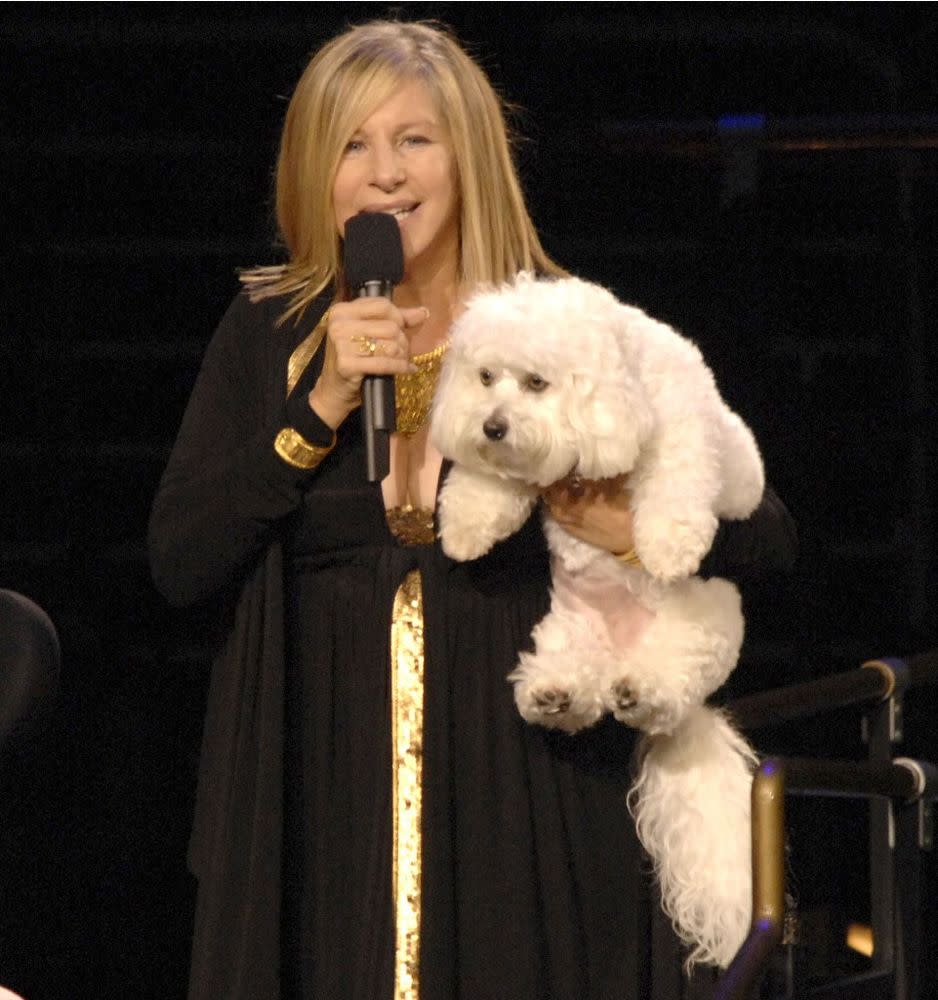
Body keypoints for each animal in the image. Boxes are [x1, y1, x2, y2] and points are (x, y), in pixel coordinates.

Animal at [432, 272, 768, 968]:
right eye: (486, 377)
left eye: (537, 382)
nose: (493, 426)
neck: (621, 388)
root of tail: (620, 656)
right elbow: (489, 486)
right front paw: (468, 525)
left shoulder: (684, 434)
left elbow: (676, 480)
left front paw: (669, 544)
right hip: (567, 629)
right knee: (579, 692)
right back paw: (555, 694)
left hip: (702, 624)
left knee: (664, 683)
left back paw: (641, 688)